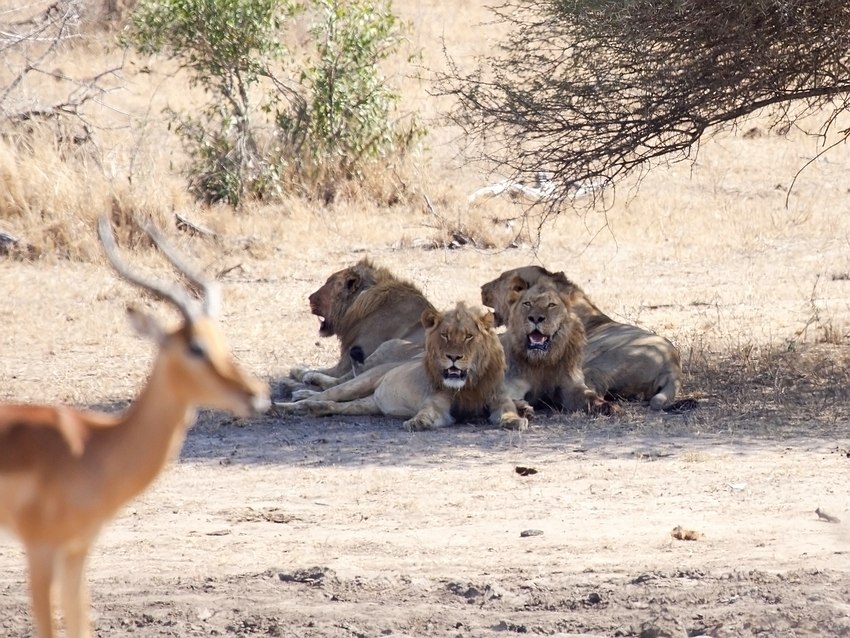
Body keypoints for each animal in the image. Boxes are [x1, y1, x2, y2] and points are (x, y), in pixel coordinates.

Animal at [274, 302, 524, 432]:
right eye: (444, 335)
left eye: (469, 336)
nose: (453, 357)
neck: (469, 384)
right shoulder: (437, 404)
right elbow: (428, 412)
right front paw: (417, 422)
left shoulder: (499, 399)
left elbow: (508, 410)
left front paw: (516, 420)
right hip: (362, 381)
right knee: (330, 391)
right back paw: (288, 403)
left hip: (366, 405)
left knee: (331, 405)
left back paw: (313, 406)